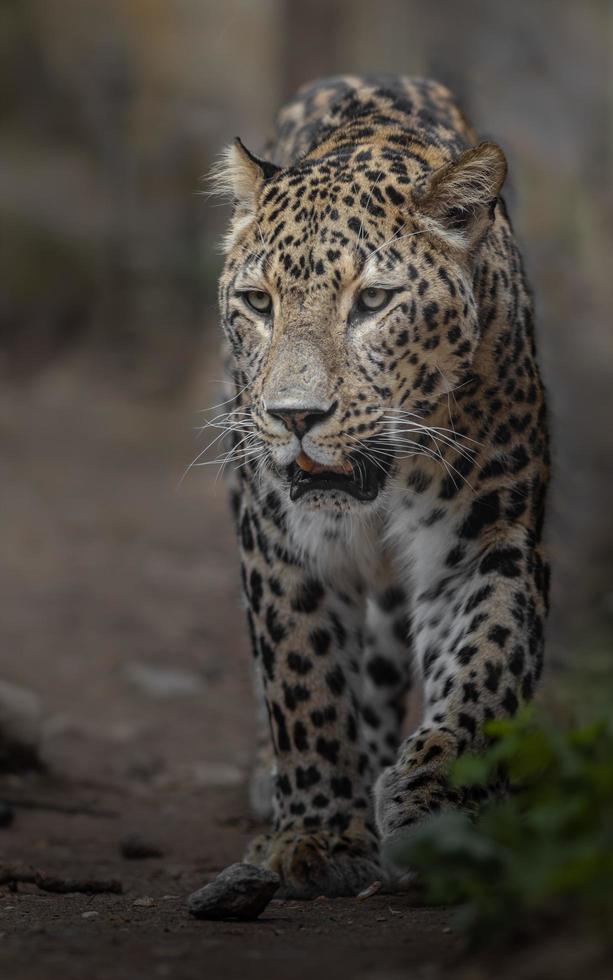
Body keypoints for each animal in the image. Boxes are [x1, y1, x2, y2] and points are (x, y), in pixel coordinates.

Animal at [208, 72, 548, 900]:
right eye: (258, 303)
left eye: (371, 302)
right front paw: (319, 837)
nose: (294, 416)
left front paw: (436, 804)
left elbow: (483, 669)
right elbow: (302, 681)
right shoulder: (281, 544)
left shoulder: (489, 542)